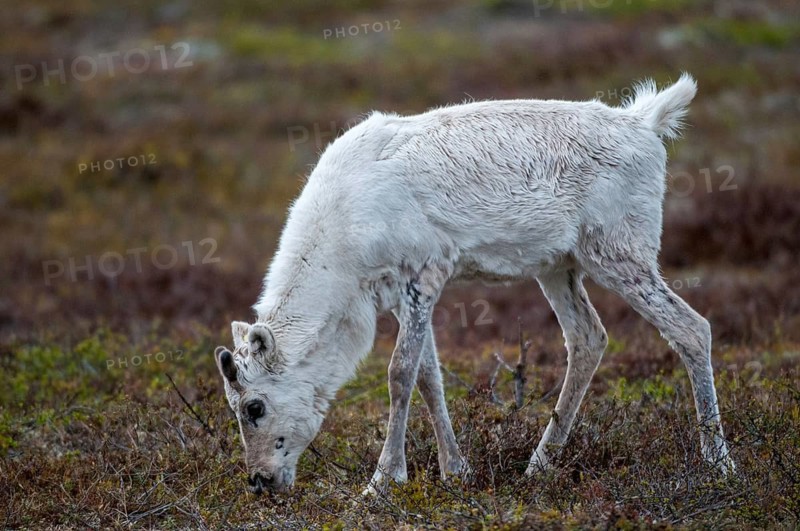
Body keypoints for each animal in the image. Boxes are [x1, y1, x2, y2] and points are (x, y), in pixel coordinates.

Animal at [213, 73, 735, 495]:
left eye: (255, 407)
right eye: (233, 407)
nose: (258, 482)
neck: (342, 249)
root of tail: (646, 122)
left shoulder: (423, 274)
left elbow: (399, 374)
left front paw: (383, 481)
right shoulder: (397, 294)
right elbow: (429, 375)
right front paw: (455, 470)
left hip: (618, 252)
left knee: (691, 328)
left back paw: (718, 463)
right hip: (558, 265)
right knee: (588, 337)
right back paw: (539, 464)